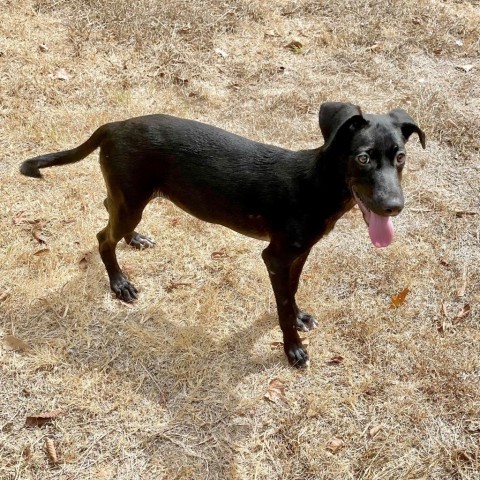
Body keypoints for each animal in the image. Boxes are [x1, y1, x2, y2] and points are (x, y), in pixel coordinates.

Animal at [20, 102, 424, 368]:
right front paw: (292, 348)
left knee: (109, 208)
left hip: (132, 197)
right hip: (132, 199)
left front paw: (298, 318)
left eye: (401, 157)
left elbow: (291, 293)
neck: (316, 184)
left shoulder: (299, 252)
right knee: (103, 237)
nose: (394, 206)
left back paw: (135, 239)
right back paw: (120, 283)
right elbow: (280, 303)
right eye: (363, 158)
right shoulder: (275, 256)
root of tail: (114, 125)